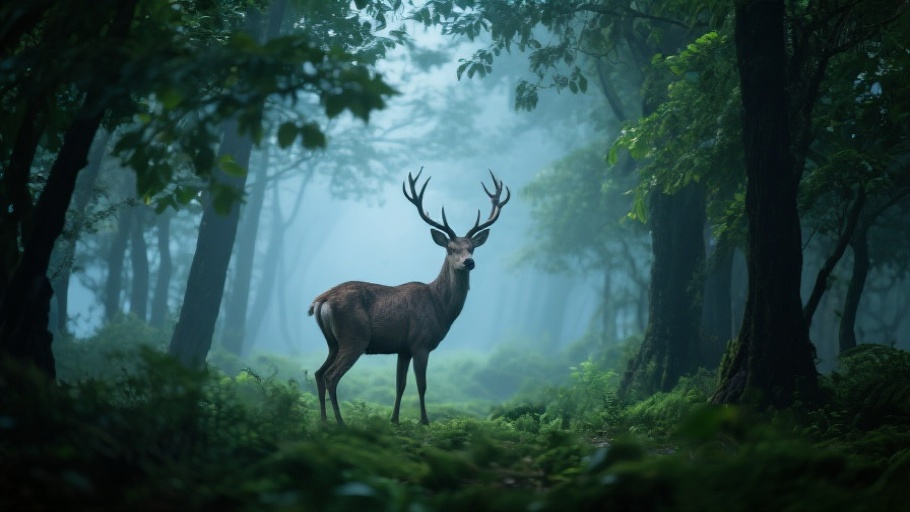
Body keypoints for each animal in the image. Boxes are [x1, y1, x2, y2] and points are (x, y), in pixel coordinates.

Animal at [307, 168, 510, 426]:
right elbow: (422, 385)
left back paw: (324, 421)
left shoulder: (402, 348)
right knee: (331, 376)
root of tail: (321, 301)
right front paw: (425, 421)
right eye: (451, 249)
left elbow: (400, 385)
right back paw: (340, 423)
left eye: (472, 247)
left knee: (318, 372)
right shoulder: (420, 342)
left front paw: (394, 419)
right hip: (354, 337)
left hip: (333, 341)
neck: (440, 307)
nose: (469, 262)